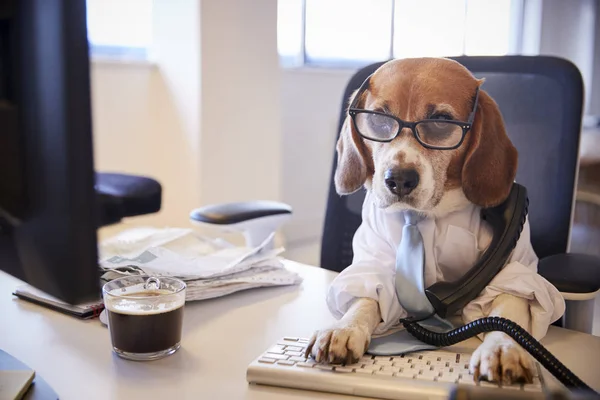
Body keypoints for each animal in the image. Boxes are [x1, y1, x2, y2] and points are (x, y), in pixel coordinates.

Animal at [308, 57, 564, 386]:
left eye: (441, 120)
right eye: (378, 119)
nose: (398, 179)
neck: (425, 216)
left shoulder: (514, 265)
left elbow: (507, 310)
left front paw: (503, 348)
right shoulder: (372, 262)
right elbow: (365, 298)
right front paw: (343, 329)